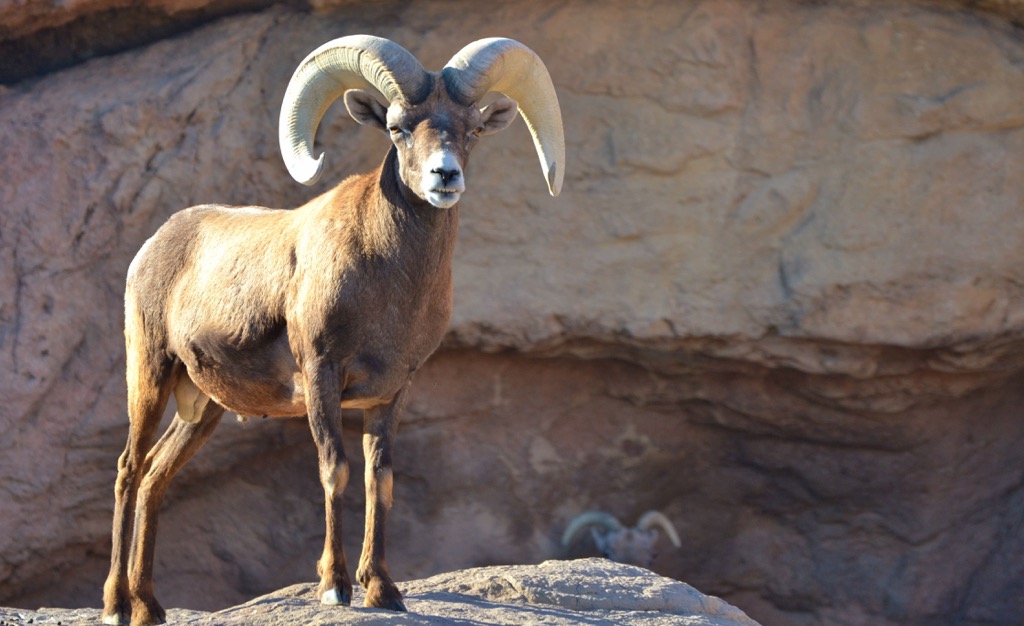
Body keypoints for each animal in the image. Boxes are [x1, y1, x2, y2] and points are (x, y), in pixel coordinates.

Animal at [101, 35, 564, 626]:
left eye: (472, 129)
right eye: (397, 126)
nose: (444, 176)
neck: (387, 283)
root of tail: (153, 245)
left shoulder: (392, 391)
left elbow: (378, 477)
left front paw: (383, 589)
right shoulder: (322, 374)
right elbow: (334, 470)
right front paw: (335, 586)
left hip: (201, 408)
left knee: (157, 476)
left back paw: (149, 606)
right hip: (151, 375)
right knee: (129, 469)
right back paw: (117, 605)